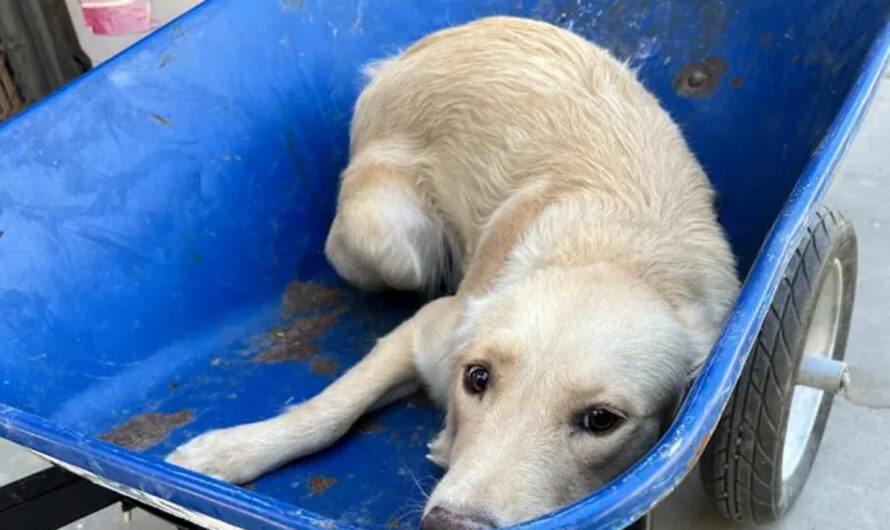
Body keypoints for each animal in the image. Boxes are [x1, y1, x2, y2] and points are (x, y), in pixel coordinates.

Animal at [166, 16, 736, 528]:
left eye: (601, 420)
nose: (450, 525)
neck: (616, 254)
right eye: (477, 378)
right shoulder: (427, 329)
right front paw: (229, 451)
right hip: (387, 243)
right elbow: (327, 411)